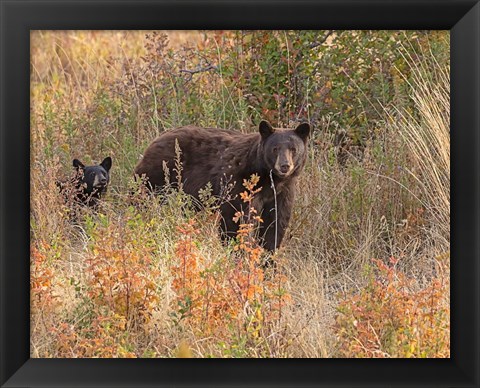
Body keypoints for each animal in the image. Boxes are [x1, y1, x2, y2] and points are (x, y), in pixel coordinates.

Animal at [134, 119, 312, 250]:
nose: (284, 166)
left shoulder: (282, 192)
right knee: (142, 198)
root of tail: (156, 139)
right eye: (275, 148)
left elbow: (275, 223)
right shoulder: (238, 182)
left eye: (293, 149)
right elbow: (234, 217)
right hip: (157, 175)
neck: (269, 179)